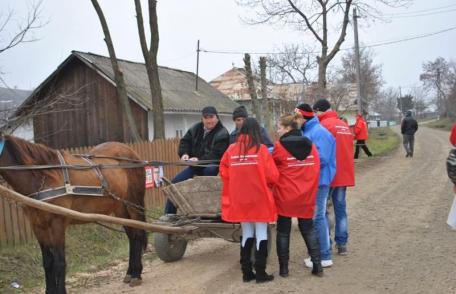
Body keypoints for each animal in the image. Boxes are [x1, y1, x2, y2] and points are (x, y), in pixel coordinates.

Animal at [0, 135, 146, 292]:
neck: (42, 175)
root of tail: (131, 152)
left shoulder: (57, 223)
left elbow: (59, 262)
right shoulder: (38, 226)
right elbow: (48, 262)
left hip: (133, 204)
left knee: (138, 235)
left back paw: (137, 274)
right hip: (120, 208)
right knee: (132, 236)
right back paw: (130, 272)